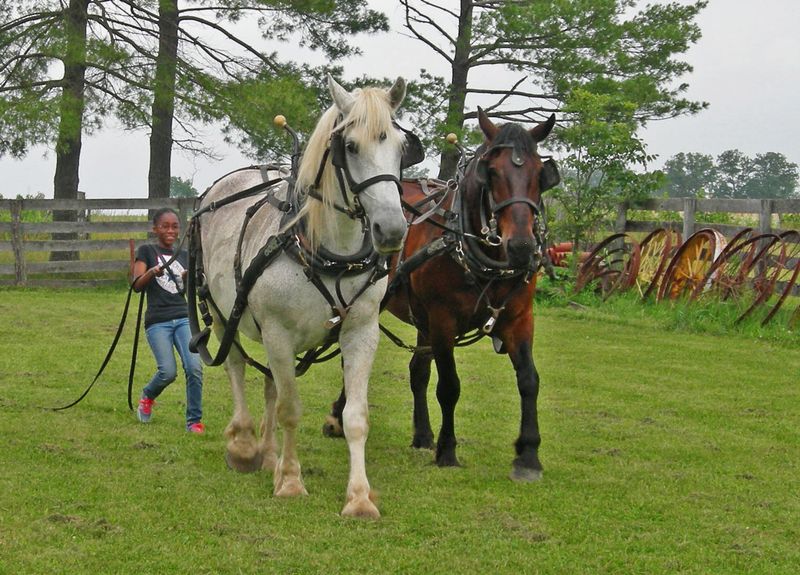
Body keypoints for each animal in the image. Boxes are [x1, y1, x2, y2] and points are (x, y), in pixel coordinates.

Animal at [195, 74, 412, 520]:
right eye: (351, 147)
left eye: (402, 147)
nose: (391, 230)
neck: (327, 250)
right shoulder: (277, 332)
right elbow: (291, 409)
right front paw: (292, 482)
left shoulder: (361, 331)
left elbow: (355, 415)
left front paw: (359, 497)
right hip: (224, 315)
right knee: (238, 367)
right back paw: (245, 445)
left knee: (270, 384)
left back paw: (268, 453)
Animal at [324, 109, 556, 482]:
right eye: (491, 172)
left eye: (540, 173)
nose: (521, 247)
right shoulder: (443, 320)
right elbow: (449, 386)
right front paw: (448, 449)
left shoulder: (519, 318)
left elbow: (529, 381)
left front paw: (528, 455)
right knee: (353, 360)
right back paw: (339, 416)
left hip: (422, 321)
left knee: (417, 370)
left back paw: (422, 434)